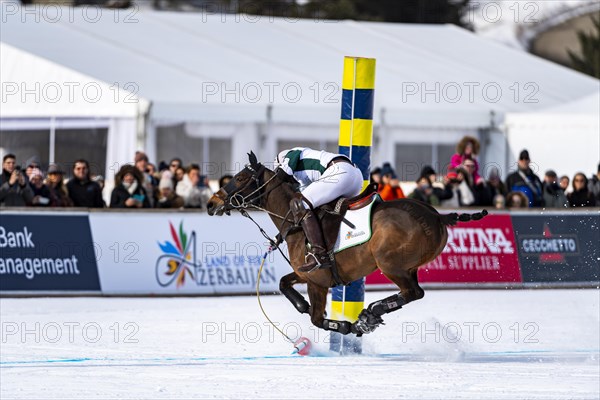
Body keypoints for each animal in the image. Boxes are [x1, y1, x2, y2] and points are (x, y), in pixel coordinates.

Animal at [207, 153, 488, 334]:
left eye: (240, 178)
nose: (211, 203)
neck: (295, 225)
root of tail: (438, 216)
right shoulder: (307, 275)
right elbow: (285, 284)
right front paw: (303, 305)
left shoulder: (317, 280)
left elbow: (316, 318)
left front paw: (347, 324)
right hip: (408, 267)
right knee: (413, 292)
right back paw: (369, 315)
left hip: (390, 264)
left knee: (413, 293)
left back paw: (370, 313)